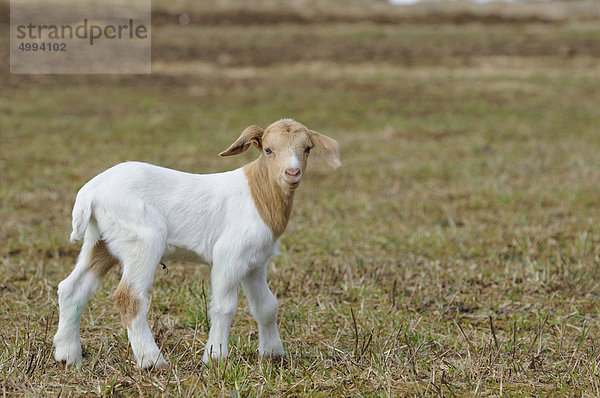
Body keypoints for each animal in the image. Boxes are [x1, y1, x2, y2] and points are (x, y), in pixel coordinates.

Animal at [51, 119, 342, 368]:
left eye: (307, 149)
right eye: (268, 150)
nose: (292, 172)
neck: (260, 195)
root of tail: (90, 192)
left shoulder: (255, 262)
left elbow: (267, 306)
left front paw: (273, 354)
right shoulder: (230, 255)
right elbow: (224, 307)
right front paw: (215, 357)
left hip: (100, 240)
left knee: (72, 288)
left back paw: (68, 355)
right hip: (142, 240)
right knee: (128, 296)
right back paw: (152, 361)